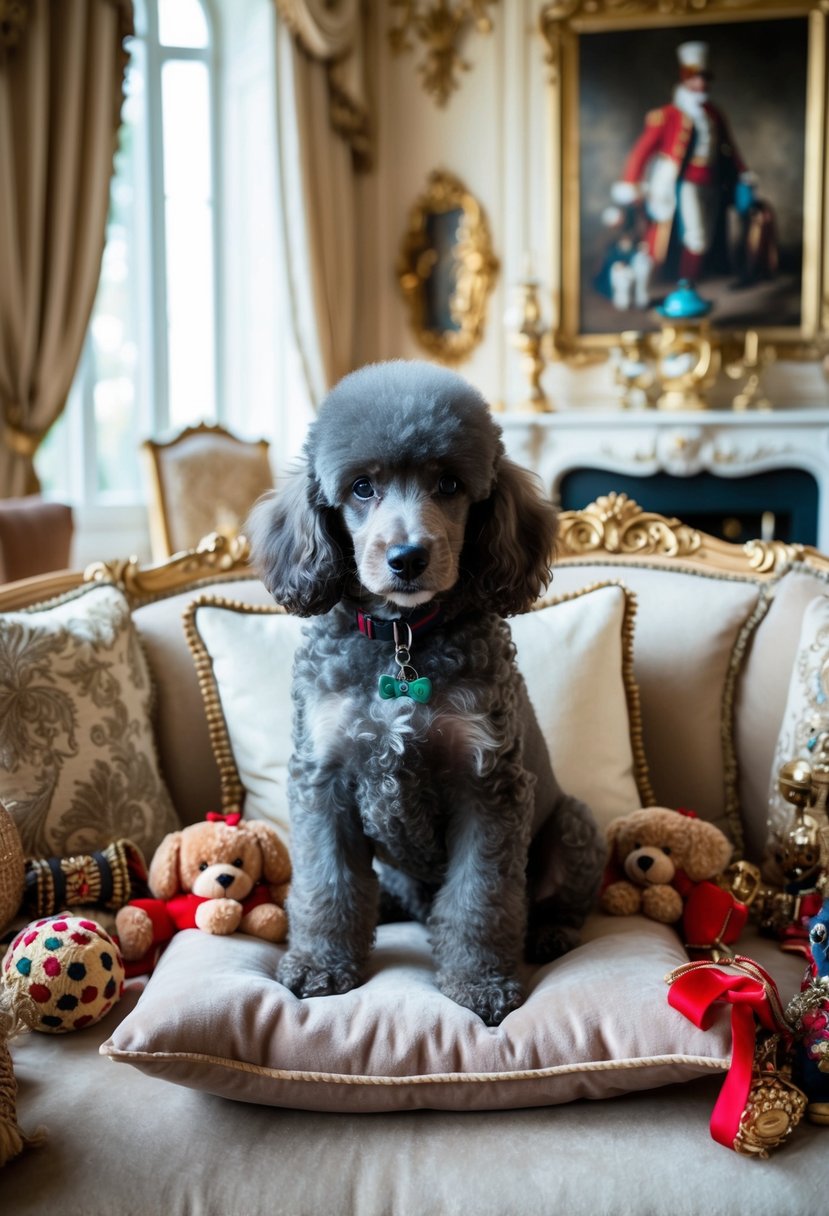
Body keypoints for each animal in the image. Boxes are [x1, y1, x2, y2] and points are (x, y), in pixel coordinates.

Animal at [245, 359, 600, 1026]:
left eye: (450, 485)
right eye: (362, 488)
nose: (408, 557)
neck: (402, 639)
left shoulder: (486, 785)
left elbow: (480, 899)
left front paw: (480, 983)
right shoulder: (324, 780)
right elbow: (327, 886)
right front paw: (320, 967)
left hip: (572, 822)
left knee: (550, 901)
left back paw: (550, 933)